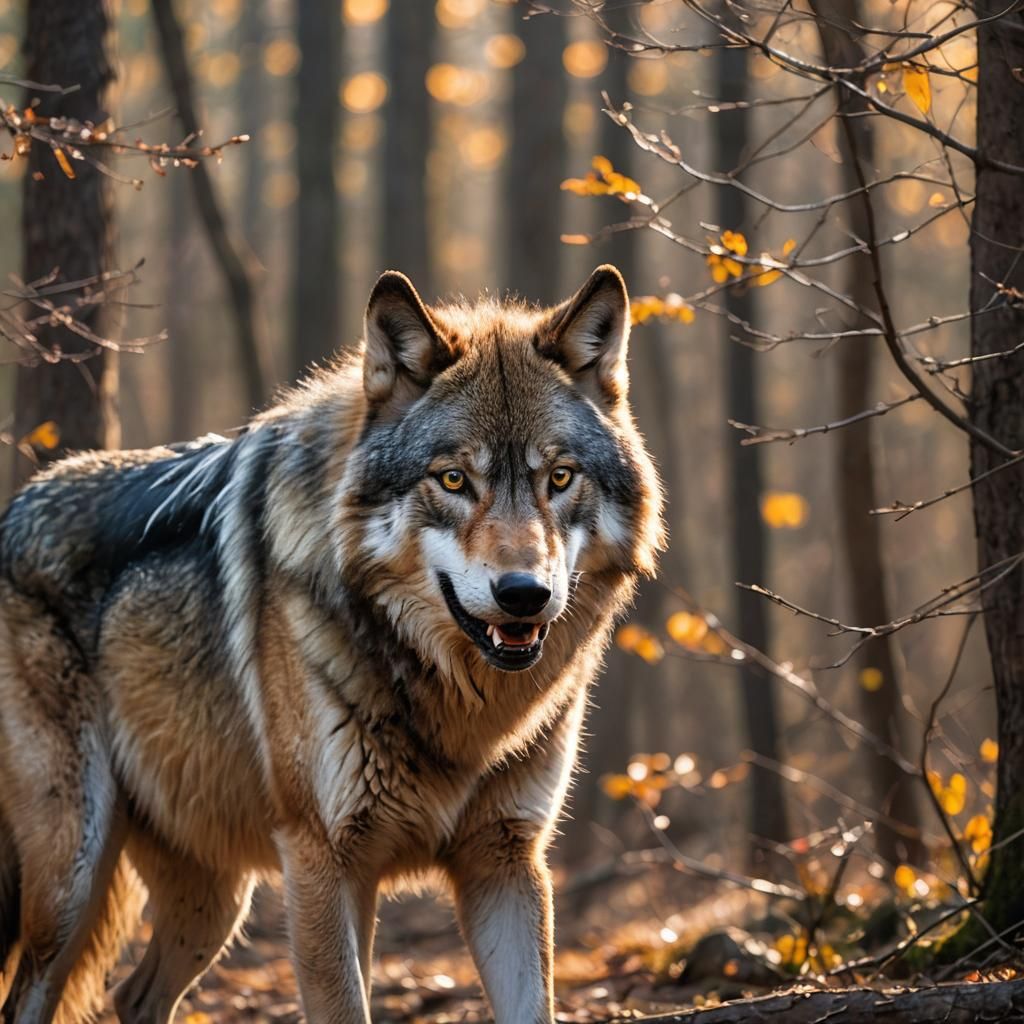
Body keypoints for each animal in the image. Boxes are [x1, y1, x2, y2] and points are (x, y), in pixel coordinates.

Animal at [0, 265, 663, 1024]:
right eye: (453, 479)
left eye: (559, 477)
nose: (524, 593)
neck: (458, 710)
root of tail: (14, 509)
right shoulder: (322, 859)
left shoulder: (505, 863)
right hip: (69, 878)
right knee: (28, 996)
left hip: (213, 901)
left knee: (131, 998)